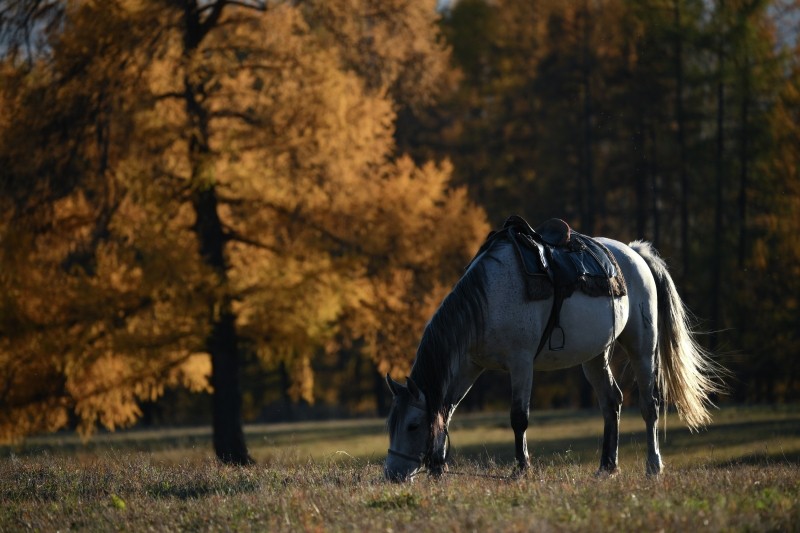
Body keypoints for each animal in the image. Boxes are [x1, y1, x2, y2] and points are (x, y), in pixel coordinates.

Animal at [384, 221, 720, 482]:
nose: (392, 474)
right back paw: (607, 467)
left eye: (413, 425)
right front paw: (439, 469)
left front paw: (521, 469)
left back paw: (653, 466)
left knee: (649, 406)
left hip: (642, 346)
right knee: (611, 402)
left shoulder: (520, 364)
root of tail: (634, 253)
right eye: (391, 424)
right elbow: (446, 411)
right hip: (595, 356)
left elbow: (518, 417)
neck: (486, 301)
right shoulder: (469, 365)